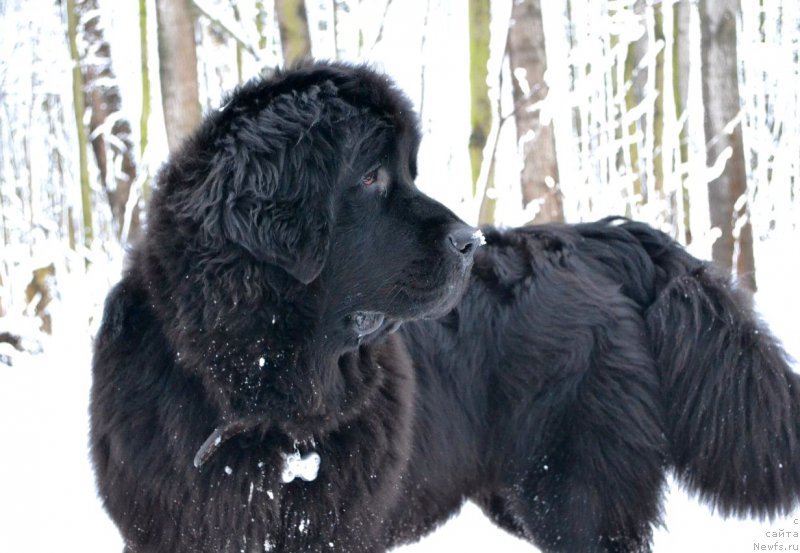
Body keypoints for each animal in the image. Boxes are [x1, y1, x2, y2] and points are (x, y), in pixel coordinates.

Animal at [89, 62, 800, 548]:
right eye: (370, 176)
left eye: (407, 170)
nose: (470, 242)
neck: (262, 395)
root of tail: (595, 239)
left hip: (577, 493)